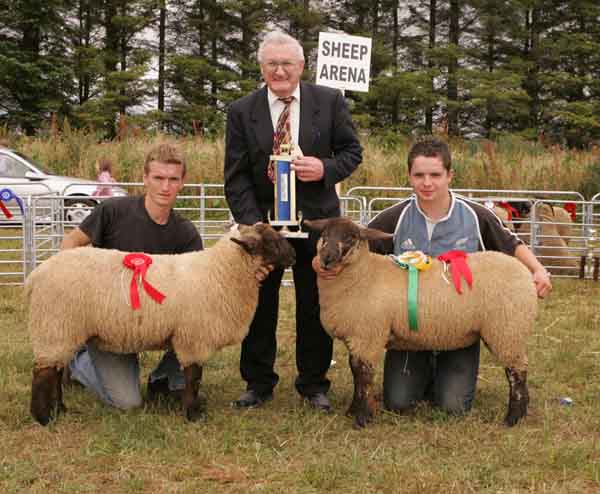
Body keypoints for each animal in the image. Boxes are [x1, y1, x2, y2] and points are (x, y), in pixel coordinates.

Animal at [26, 223, 298, 424]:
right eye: (272, 242)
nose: (294, 256)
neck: (220, 272)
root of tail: (35, 276)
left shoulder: (184, 336)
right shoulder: (194, 339)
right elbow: (194, 378)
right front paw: (193, 415)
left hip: (60, 330)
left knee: (54, 371)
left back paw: (60, 410)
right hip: (56, 325)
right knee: (42, 374)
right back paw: (43, 418)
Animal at [304, 217, 540, 428]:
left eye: (351, 237)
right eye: (324, 234)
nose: (326, 258)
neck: (364, 275)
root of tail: (526, 274)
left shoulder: (368, 336)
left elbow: (363, 377)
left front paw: (361, 418)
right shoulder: (358, 338)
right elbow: (355, 373)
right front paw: (352, 410)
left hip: (507, 330)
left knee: (517, 373)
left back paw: (512, 418)